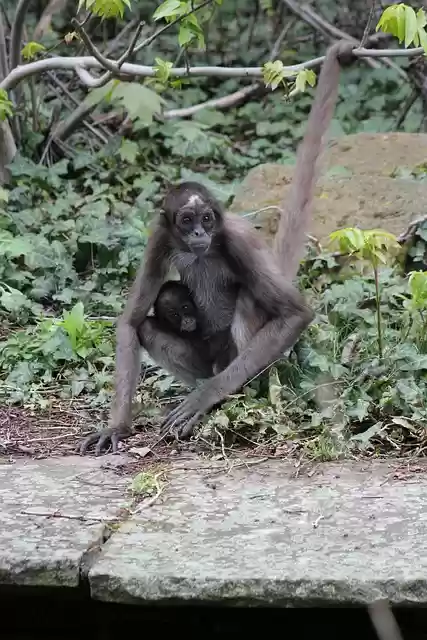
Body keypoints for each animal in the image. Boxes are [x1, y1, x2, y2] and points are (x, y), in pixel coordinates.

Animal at [78, 40, 356, 455]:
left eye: (207, 219)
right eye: (186, 220)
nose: (197, 234)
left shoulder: (236, 238)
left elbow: (296, 314)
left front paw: (204, 398)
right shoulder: (160, 236)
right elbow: (130, 322)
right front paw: (116, 426)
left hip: (244, 361)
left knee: (248, 300)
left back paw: (228, 397)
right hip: (205, 360)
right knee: (148, 325)